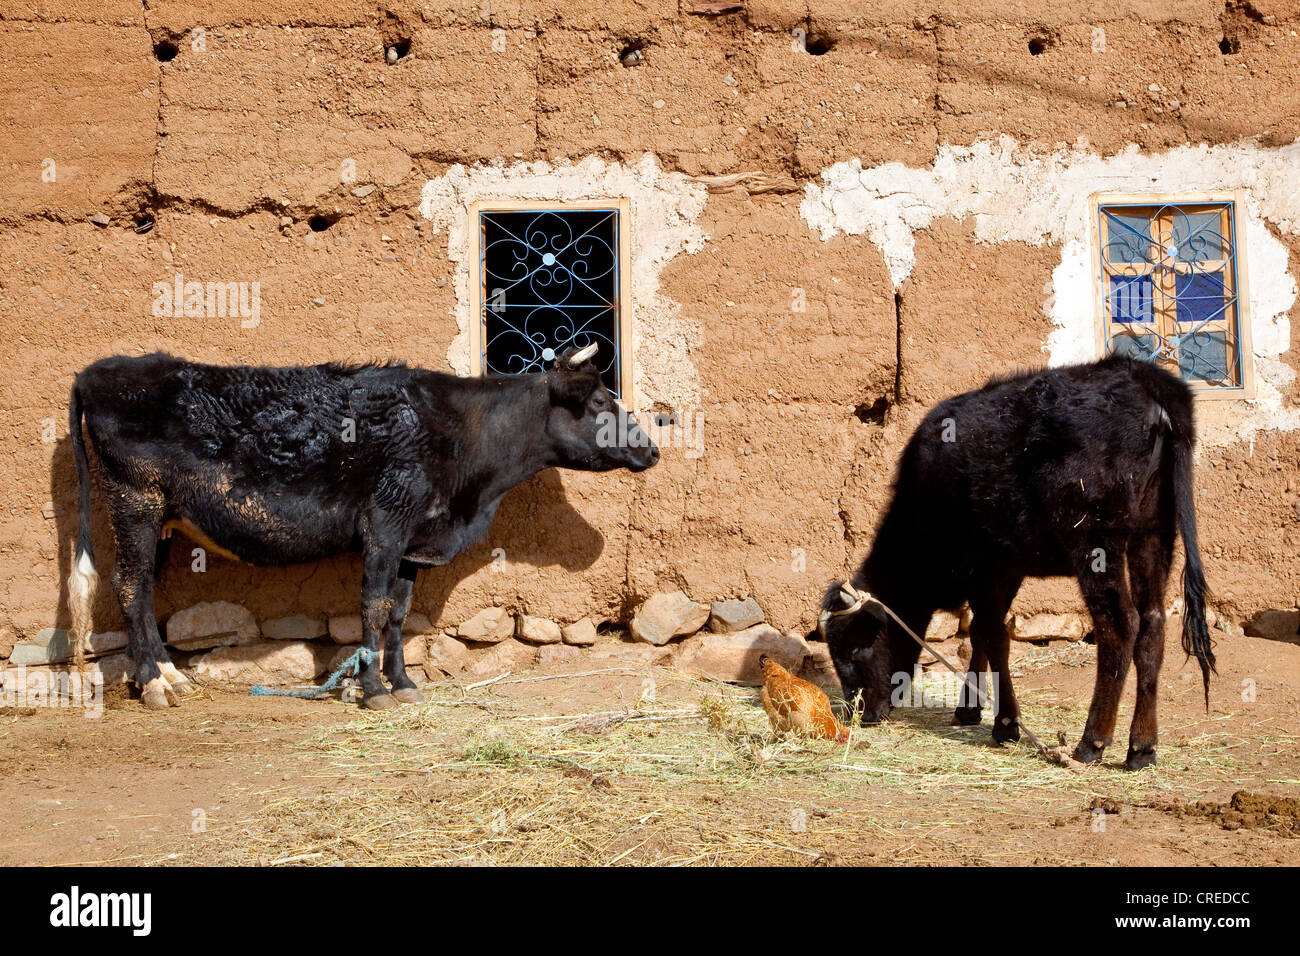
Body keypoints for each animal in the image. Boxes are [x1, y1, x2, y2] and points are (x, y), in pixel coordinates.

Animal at [68, 343, 660, 712]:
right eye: (601, 400)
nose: (653, 450)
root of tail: (99, 370)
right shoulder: (385, 524)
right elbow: (373, 607)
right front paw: (373, 689)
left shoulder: (414, 542)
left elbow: (398, 612)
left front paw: (404, 683)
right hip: (134, 503)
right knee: (130, 586)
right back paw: (155, 684)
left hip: (160, 519)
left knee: (143, 590)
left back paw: (169, 676)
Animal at [821, 356, 1216, 775]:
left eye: (854, 650)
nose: (861, 713)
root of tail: (1141, 375)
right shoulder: (1005, 569)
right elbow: (980, 633)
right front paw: (970, 709)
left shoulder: (982, 566)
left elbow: (994, 636)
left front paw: (1006, 723)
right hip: (1153, 535)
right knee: (1153, 624)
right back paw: (1141, 747)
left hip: (1097, 543)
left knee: (1120, 626)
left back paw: (1091, 742)